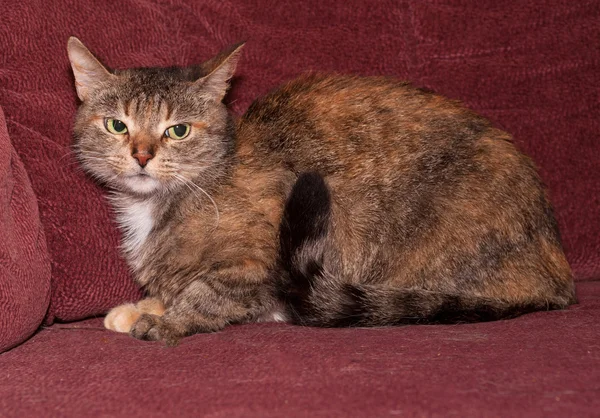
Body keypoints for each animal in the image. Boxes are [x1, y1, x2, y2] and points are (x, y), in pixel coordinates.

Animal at [67, 35, 576, 342]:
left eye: (177, 130)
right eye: (117, 125)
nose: (142, 155)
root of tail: (557, 275)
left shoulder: (259, 262)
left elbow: (208, 293)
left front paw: (165, 321)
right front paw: (141, 306)